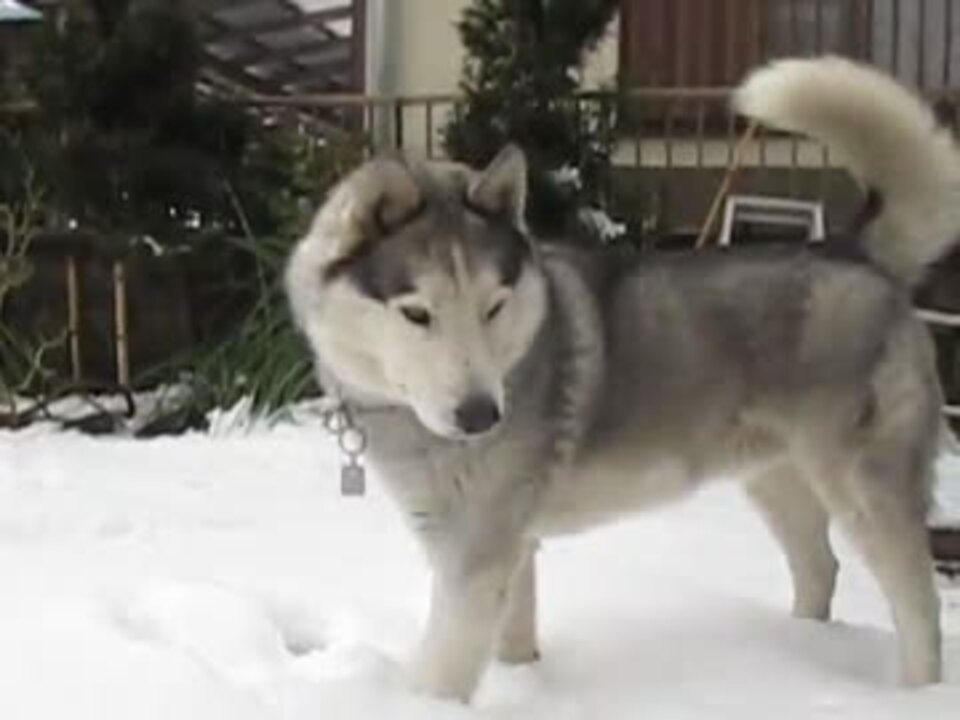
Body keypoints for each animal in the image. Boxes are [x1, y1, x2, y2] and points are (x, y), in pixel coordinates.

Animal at [286, 56, 955, 701]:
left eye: (493, 306)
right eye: (417, 313)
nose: (482, 416)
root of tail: (856, 252)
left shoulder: (474, 559)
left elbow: (439, 679)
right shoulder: (509, 545)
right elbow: (515, 639)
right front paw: (528, 682)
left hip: (863, 488)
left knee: (918, 605)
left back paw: (911, 691)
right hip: (777, 480)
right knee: (820, 568)